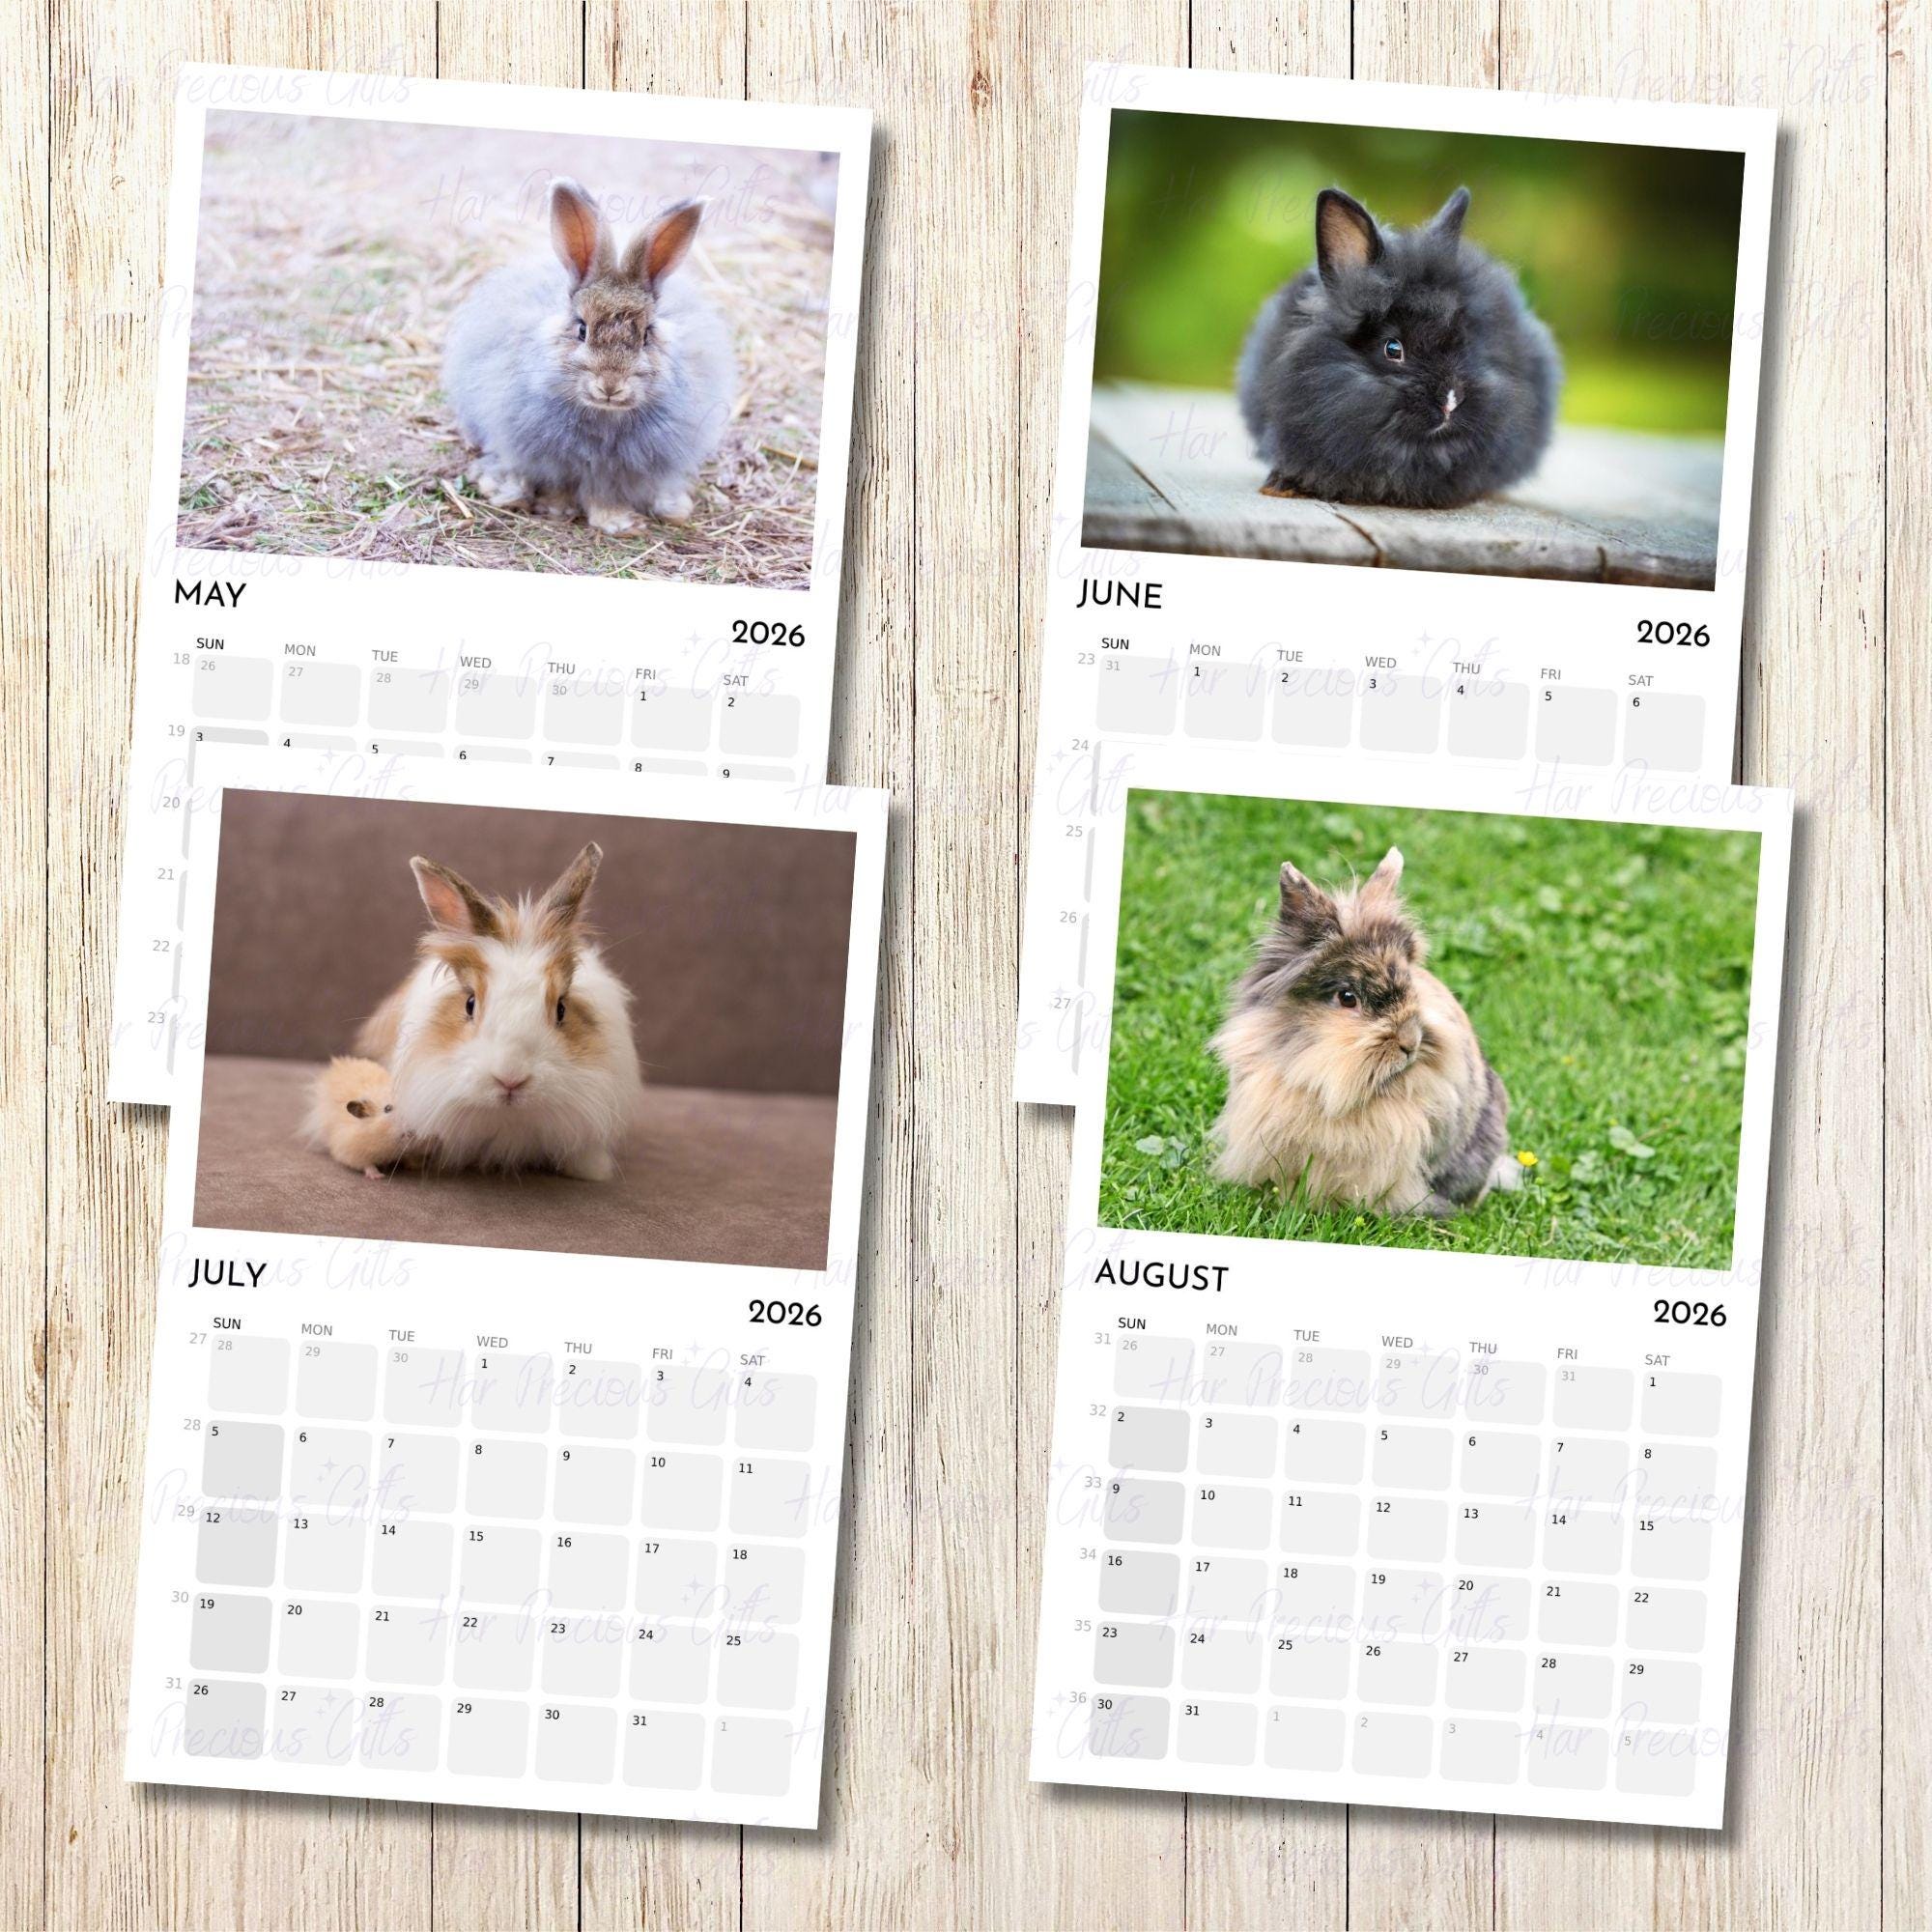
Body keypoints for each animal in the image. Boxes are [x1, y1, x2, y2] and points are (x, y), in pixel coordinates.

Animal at [442, 179, 737, 534]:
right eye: (582, 329)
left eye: (647, 335)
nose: (610, 386)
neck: (604, 416)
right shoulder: (553, 460)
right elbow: (561, 486)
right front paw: (558, 509)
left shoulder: (617, 471)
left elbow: (605, 495)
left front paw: (617, 522)